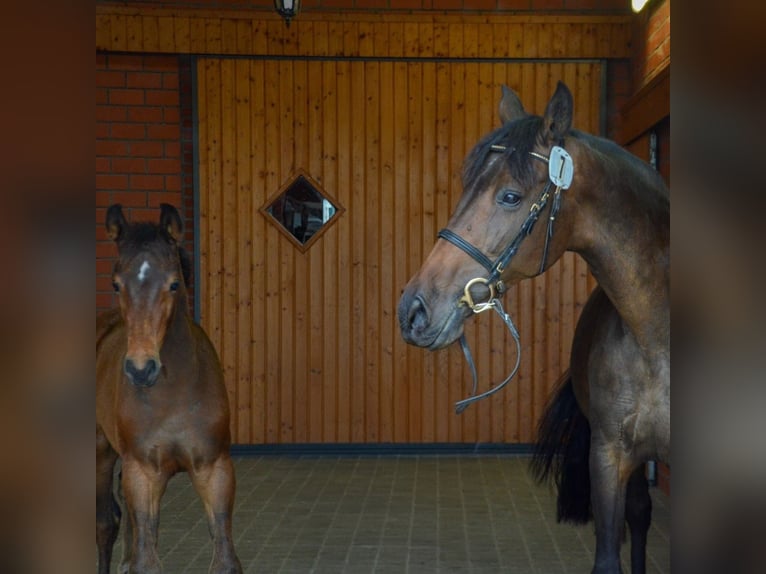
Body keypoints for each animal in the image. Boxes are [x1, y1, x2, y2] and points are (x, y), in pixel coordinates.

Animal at [96, 204, 242, 574]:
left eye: (174, 283)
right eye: (116, 284)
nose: (141, 369)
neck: (174, 394)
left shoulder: (214, 469)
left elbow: (225, 558)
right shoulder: (143, 471)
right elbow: (146, 561)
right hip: (100, 450)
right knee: (105, 522)